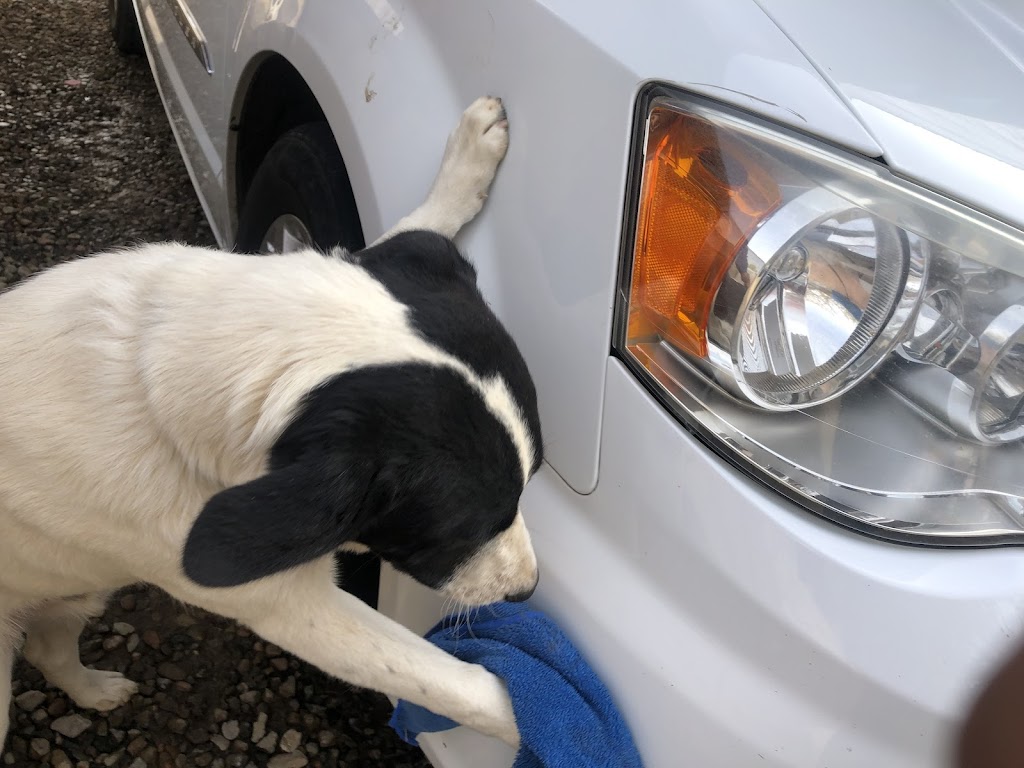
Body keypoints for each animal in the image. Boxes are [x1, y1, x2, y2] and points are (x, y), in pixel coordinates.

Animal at [0, 96, 540, 753]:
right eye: (464, 531)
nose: (528, 590)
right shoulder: (286, 603)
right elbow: (458, 686)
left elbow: (399, 236)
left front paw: (469, 158)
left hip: (78, 589)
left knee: (49, 646)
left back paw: (94, 691)